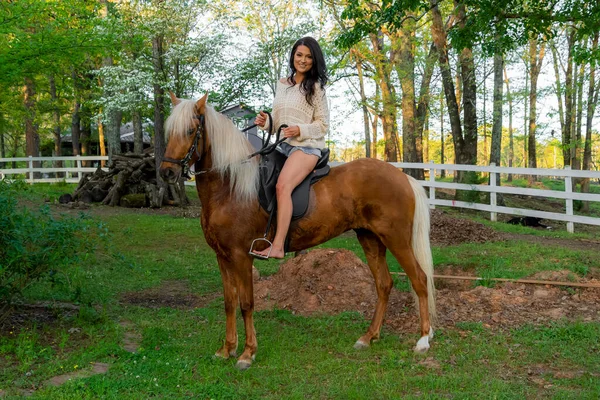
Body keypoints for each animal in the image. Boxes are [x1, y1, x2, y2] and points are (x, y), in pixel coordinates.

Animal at [161, 93, 436, 368]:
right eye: (168, 132)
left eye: (190, 130)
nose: (167, 172)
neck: (230, 188)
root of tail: (403, 177)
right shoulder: (223, 257)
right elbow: (229, 302)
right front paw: (227, 348)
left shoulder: (241, 257)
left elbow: (246, 304)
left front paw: (247, 353)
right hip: (370, 239)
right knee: (384, 284)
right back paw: (369, 337)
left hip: (396, 239)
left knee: (419, 279)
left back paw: (423, 340)